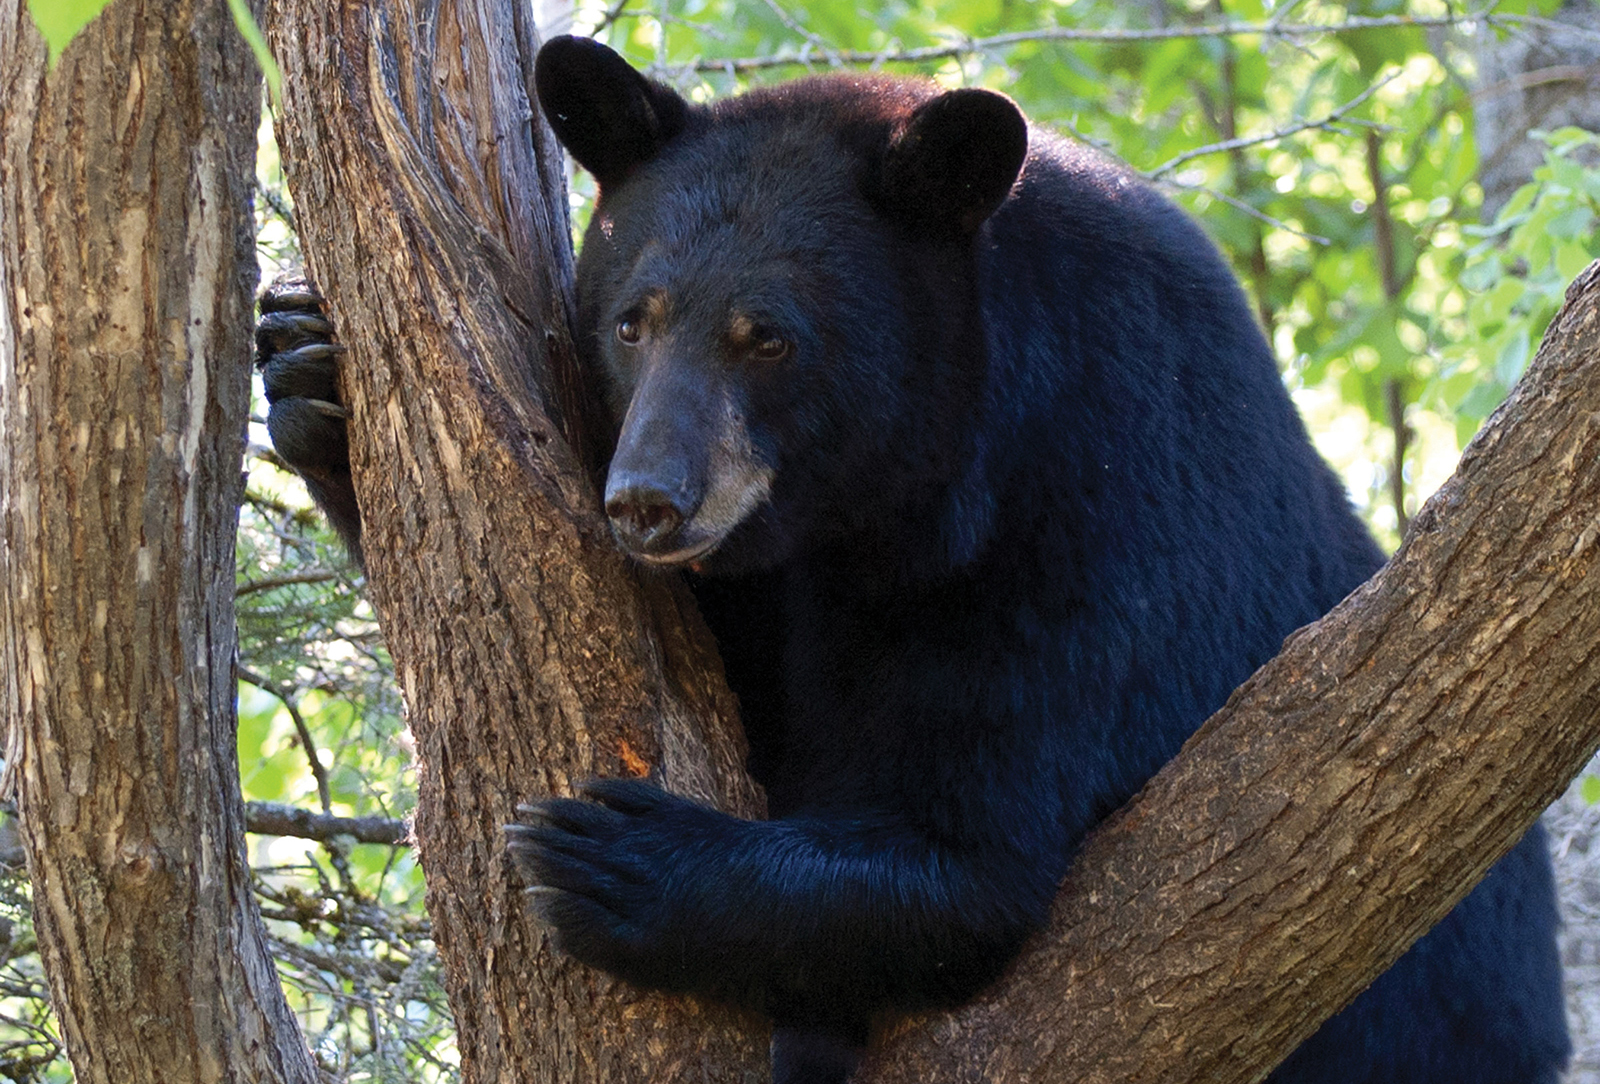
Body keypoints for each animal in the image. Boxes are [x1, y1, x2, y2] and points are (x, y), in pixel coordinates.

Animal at [256, 33, 1568, 1084]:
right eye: (632, 319)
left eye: (769, 338)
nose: (643, 501)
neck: (894, 502)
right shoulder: (785, 578)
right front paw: (309, 370)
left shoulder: (1098, 507)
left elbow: (969, 843)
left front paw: (612, 855)